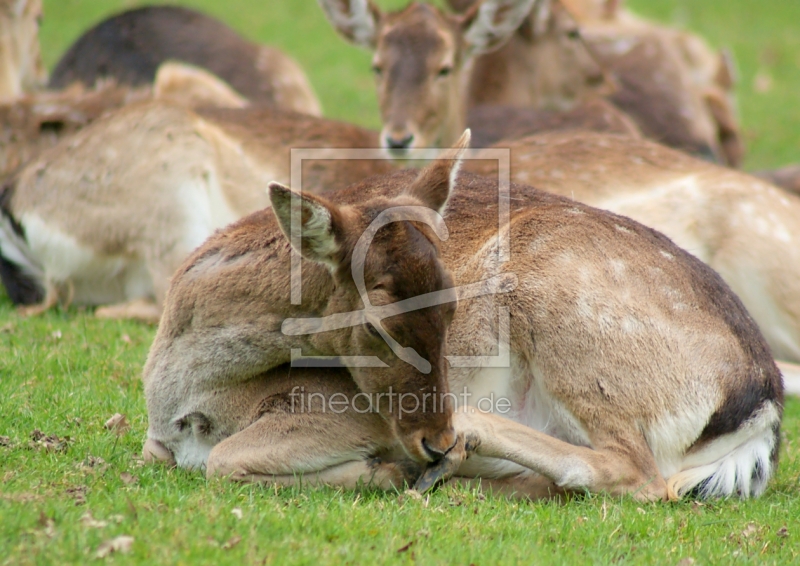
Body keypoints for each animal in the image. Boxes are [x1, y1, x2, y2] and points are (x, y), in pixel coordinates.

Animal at [142, 133, 780, 502]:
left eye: (453, 308)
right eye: (377, 324)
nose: (433, 439)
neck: (183, 397)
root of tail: (762, 404)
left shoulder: (342, 409)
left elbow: (222, 461)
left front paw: (387, 473)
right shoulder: (156, 441)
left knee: (640, 474)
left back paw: (464, 449)